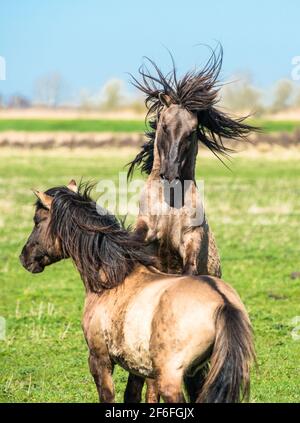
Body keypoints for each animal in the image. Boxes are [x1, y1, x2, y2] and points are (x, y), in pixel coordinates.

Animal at [19, 180, 254, 404]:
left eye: (37, 220)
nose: (24, 258)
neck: (114, 279)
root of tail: (222, 302)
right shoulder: (140, 369)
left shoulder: (99, 360)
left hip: (171, 380)